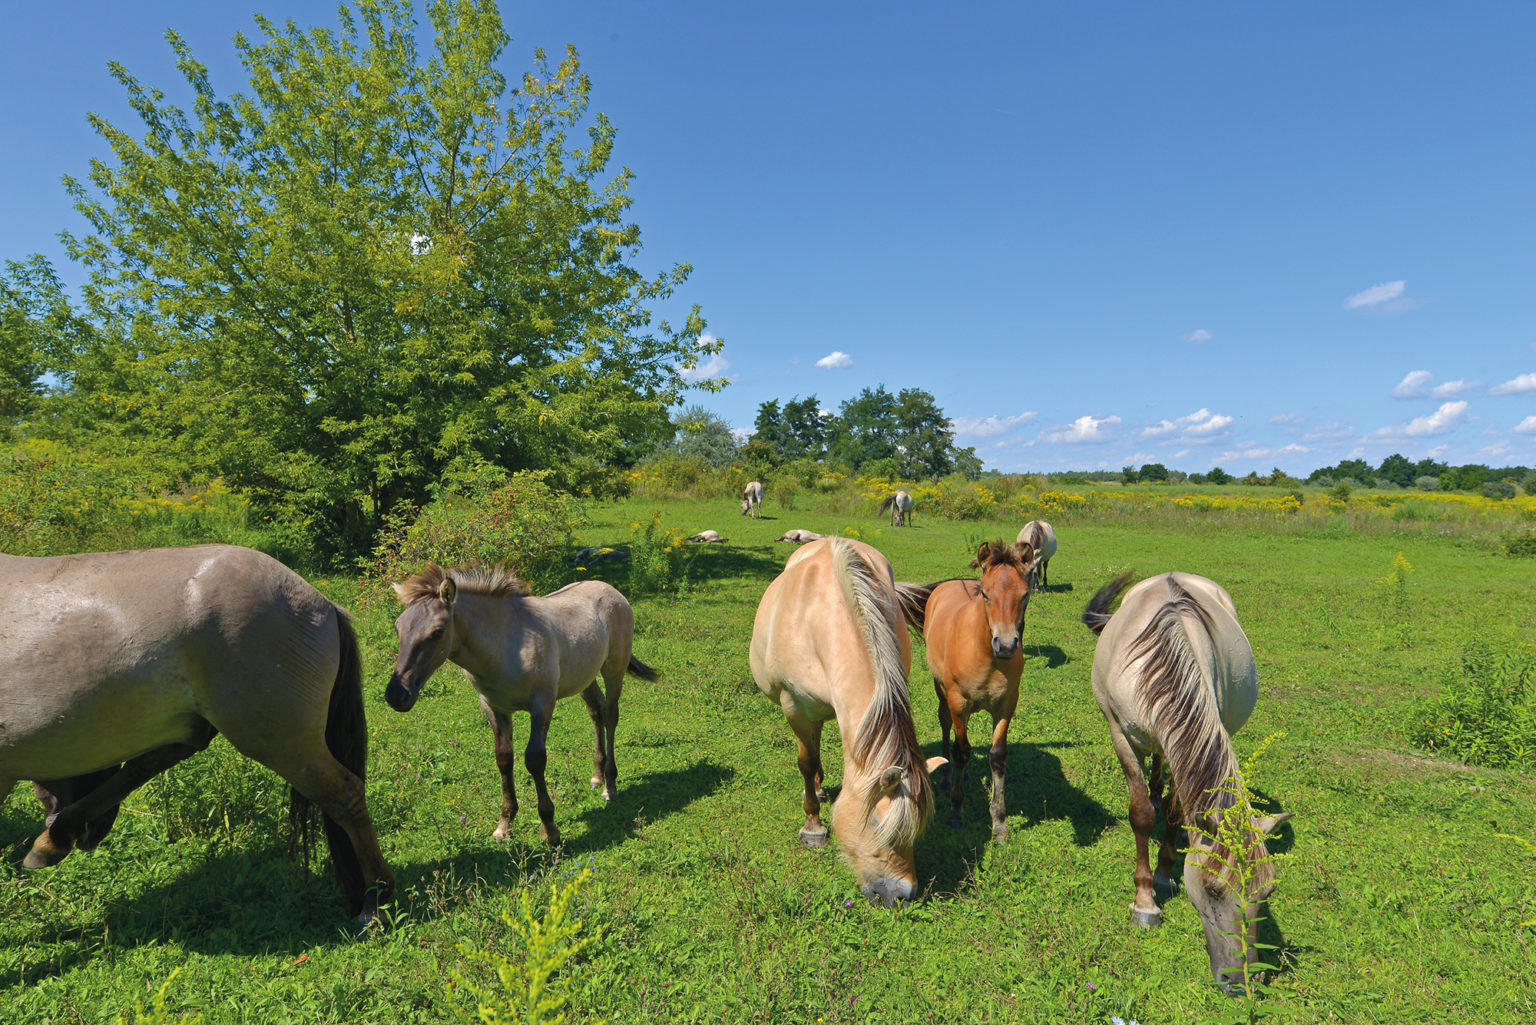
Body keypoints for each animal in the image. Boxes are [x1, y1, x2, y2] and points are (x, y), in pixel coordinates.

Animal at [387, 565, 657, 848]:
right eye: (398, 628)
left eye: (437, 632)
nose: (396, 694)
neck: (506, 645)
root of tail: (612, 590)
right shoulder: (493, 707)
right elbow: (504, 759)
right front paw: (504, 824)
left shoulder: (543, 702)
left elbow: (535, 759)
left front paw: (550, 829)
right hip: (585, 675)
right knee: (597, 711)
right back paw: (596, 776)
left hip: (614, 668)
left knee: (611, 715)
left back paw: (609, 784)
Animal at [746, 537, 940, 903]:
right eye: (876, 824)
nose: (903, 894)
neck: (820, 617)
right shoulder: (794, 707)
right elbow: (806, 762)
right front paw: (812, 826)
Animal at [897, 540, 1038, 835]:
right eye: (985, 594)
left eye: (1024, 595)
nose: (1005, 645)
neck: (985, 654)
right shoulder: (958, 701)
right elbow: (961, 750)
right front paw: (956, 810)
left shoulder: (1006, 705)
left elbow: (997, 756)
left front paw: (999, 821)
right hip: (944, 695)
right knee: (947, 727)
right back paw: (947, 777)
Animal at [1081, 568, 1296, 995]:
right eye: (1213, 890)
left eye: (1268, 893)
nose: (1242, 984)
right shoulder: (1120, 736)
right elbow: (1141, 814)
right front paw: (1145, 902)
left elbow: (1177, 810)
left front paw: (1165, 874)